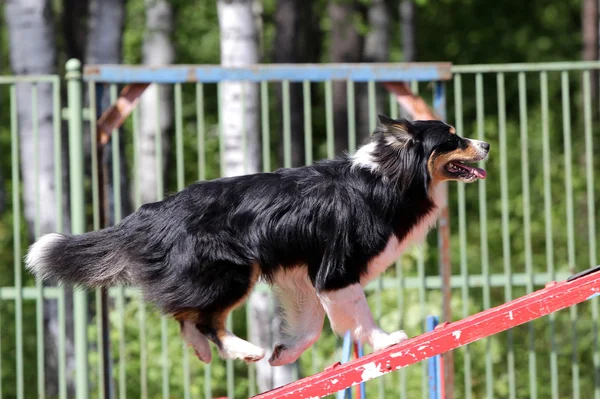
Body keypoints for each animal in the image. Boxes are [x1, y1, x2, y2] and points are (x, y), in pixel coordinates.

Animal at [25, 115, 490, 366]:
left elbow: (310, 322)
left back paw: (209, 352)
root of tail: (152, 211)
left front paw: (285, 352)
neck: (389, 178)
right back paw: (243, 350)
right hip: (231, 271)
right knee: (201, 317)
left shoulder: (301, 271)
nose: (486, 143)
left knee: (185, 316)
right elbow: (358, 315)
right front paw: (388, 340)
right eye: (452, 138)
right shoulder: (338, 268)